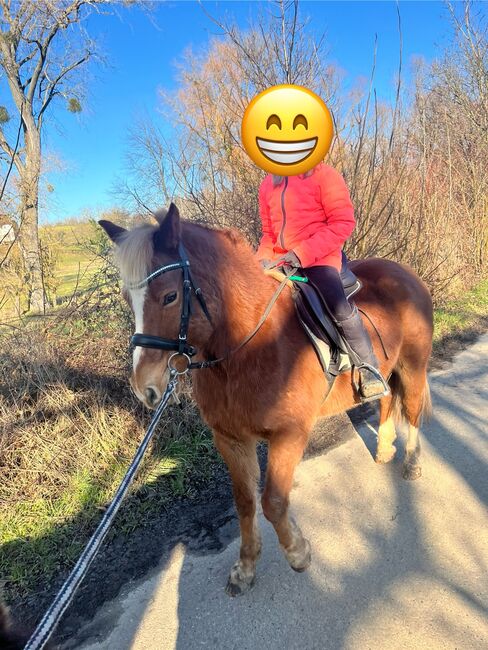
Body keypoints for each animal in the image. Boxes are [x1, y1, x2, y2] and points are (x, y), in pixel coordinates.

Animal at [98, 205, 430, 596]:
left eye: (169, 297)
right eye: (126, 298)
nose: (143, 386)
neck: (247, 347)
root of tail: (403, 272)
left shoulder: (288, 434)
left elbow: (272, 501)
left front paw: (298, 552)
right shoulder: (230, 439)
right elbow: (245, 502)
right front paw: (245, 567)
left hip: (413, 366)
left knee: (412, 409)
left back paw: (411, 462)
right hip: (391, 369)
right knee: (387, 400)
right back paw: (383, 449)